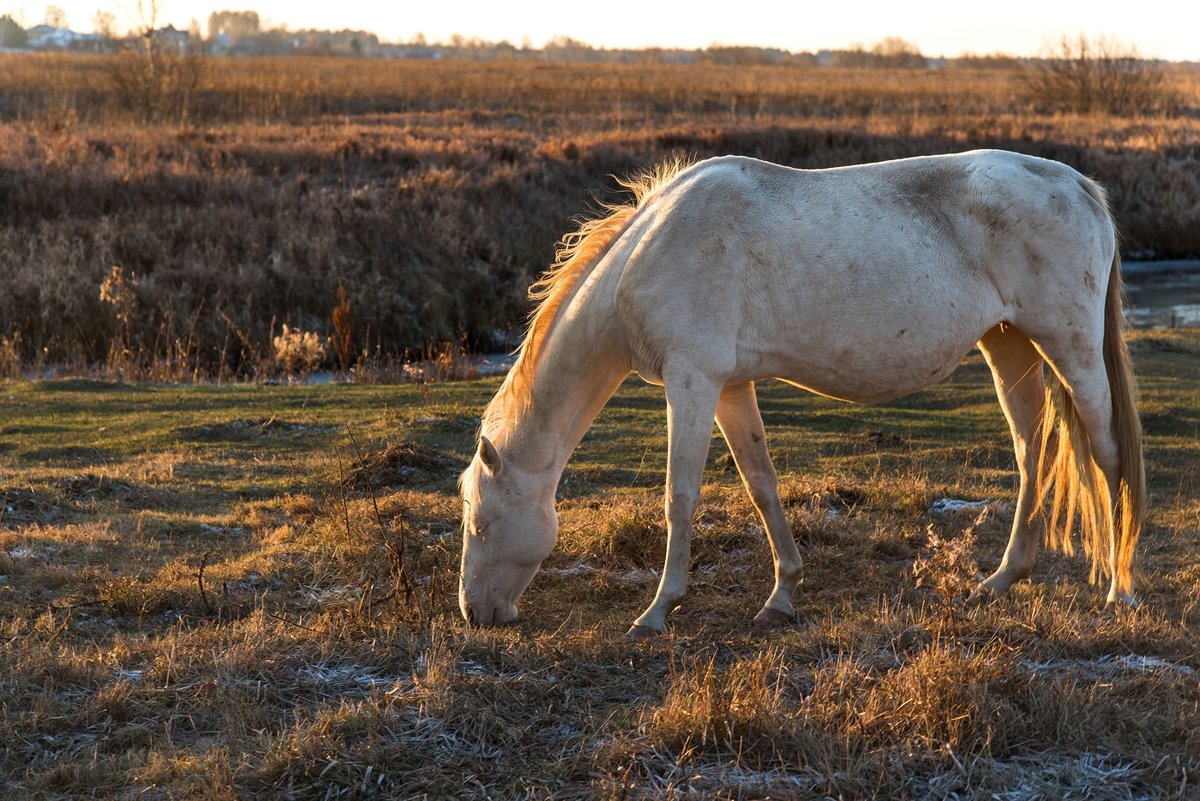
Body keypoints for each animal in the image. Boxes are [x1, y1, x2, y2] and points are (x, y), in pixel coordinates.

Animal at [458, 149, 1142, 637]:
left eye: (481, 522)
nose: (475, 614)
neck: (650, 253)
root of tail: (1077, 184)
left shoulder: (693, 380)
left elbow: (680, 498)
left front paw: (656, 612)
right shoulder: (731, 387)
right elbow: (762, 486)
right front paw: (782, 596)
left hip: (1072, 349)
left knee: (1109, 454)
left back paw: (1120, 587)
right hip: (1009, 346)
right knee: (1032, 452)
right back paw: (1003, 579)